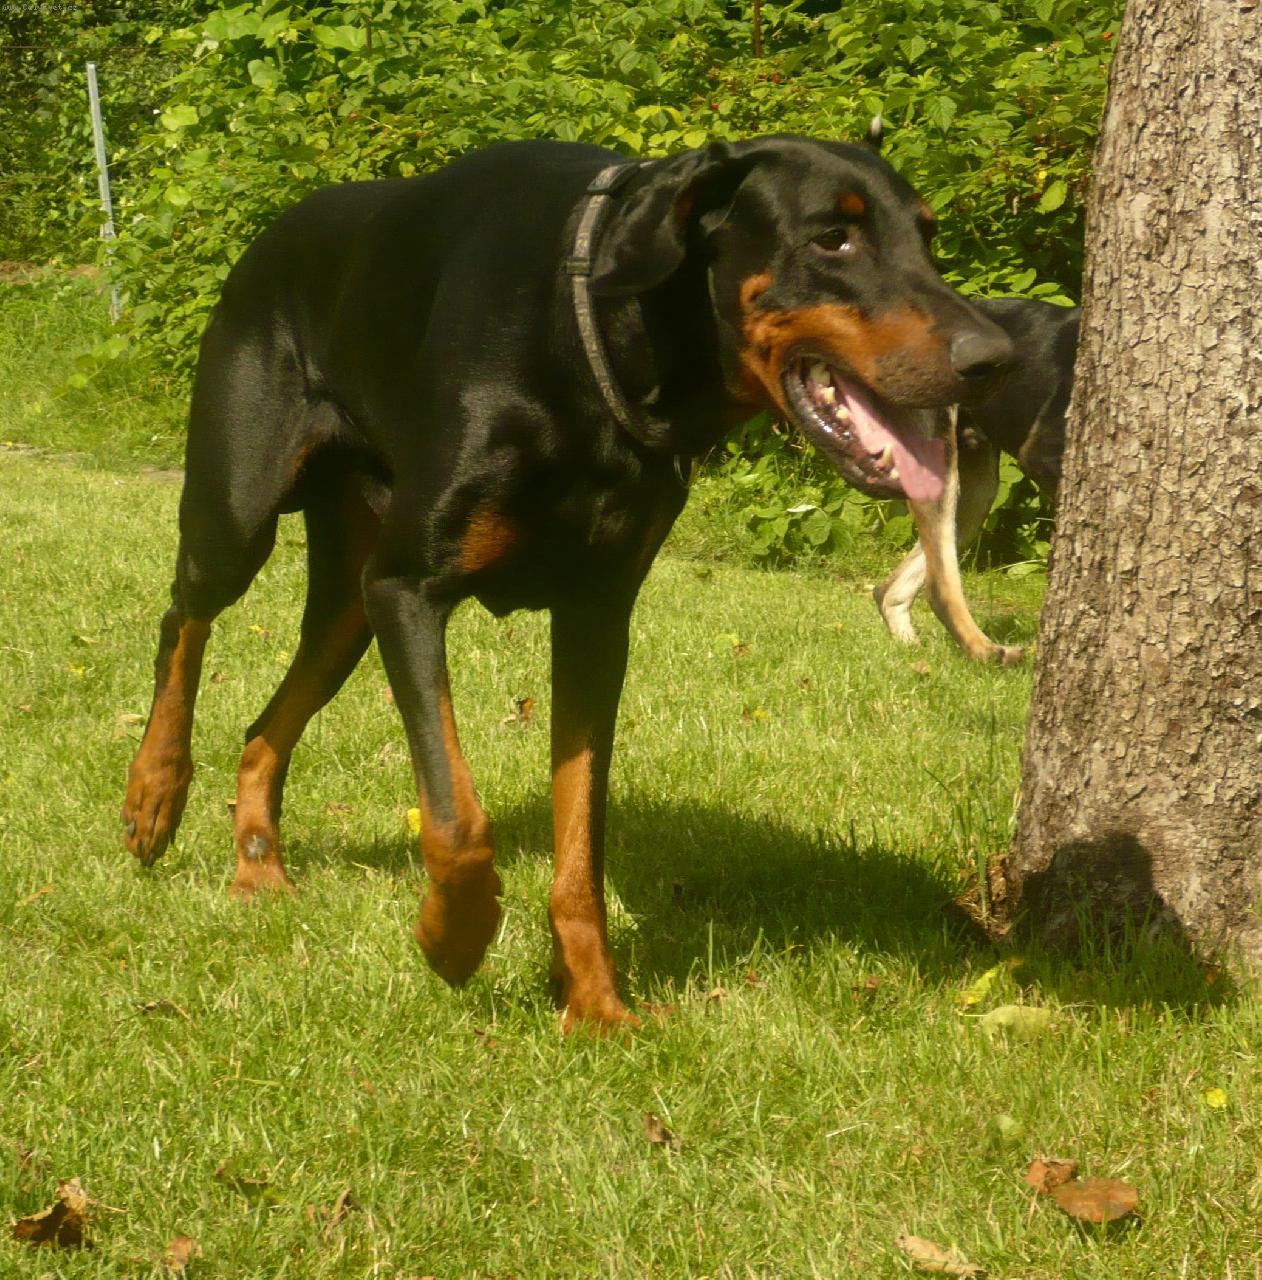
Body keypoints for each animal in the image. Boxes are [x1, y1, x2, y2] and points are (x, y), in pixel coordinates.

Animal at [121, 135, 1013, 1030]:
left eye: (928, 237)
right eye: (834, 238)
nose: (994, 358)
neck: (596, 350)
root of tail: (270, 237)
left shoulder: (595, 619)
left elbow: (581, 840)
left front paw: (594, 1004)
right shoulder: (410, 588)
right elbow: (458, 817)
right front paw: (455, 937)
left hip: (351, 604)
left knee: (265, 723)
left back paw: (257, 867)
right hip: (244, 516)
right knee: (182, 620)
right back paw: (153, 795)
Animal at [874, 298, 1079, 663]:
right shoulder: (1041, 454)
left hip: (976, 491)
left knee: (889, 590)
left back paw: (911, 649)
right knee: (939, 588)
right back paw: (987, 652)